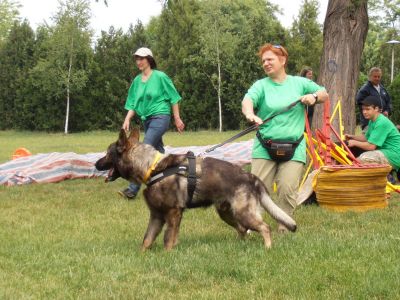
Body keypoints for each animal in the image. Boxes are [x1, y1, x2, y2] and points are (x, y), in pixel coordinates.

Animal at [96, 129, 296, 251]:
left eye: (107, 154)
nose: (96, 164)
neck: (152, 167)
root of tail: (251, 177)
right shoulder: (156, 216)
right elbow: (147, 239)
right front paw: (143, 254)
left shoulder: (172, 213)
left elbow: (168, 238)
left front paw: (168, 254)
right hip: (227, 213)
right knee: (242, 229)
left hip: (243, 213)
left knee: (264, 227)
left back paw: (267, 247)